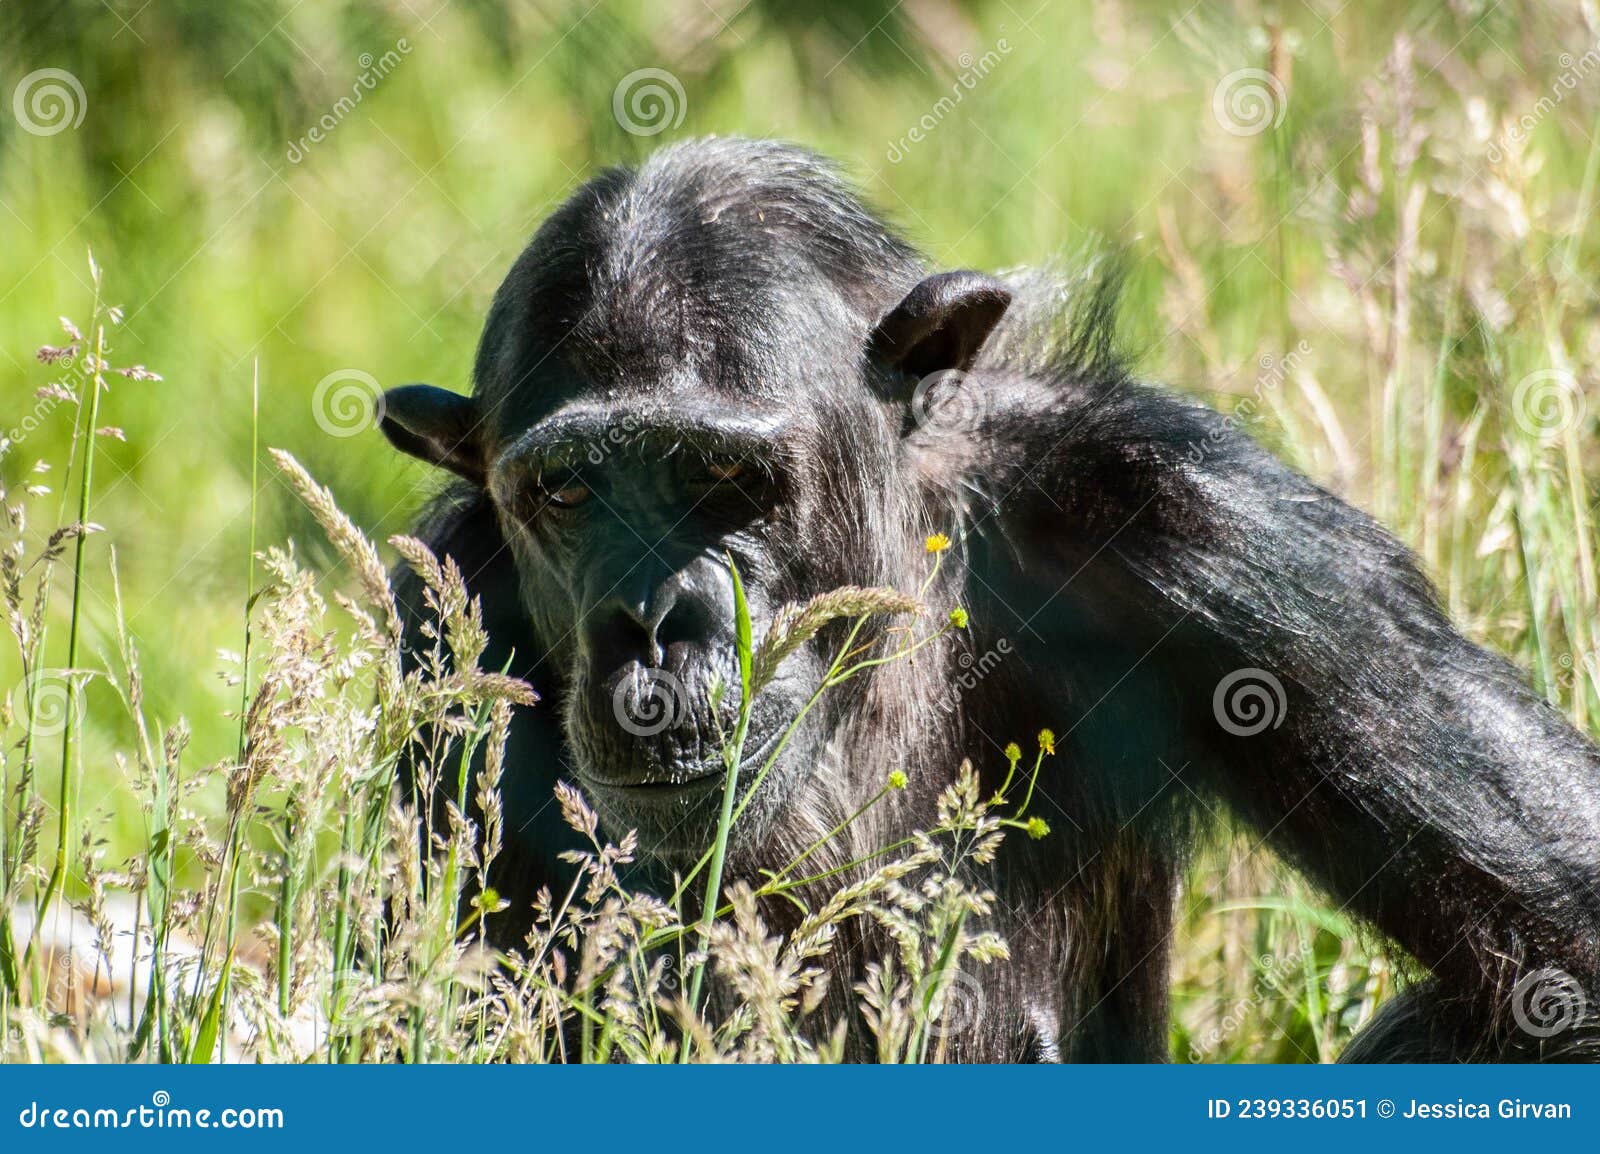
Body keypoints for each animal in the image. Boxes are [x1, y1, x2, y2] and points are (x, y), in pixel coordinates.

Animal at [380, 137, 1600, 1062]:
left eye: (721, 475)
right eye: (569, 489)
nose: (647, 620)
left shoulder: (1225, 540)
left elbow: (1562, 950)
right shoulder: (443, 626)